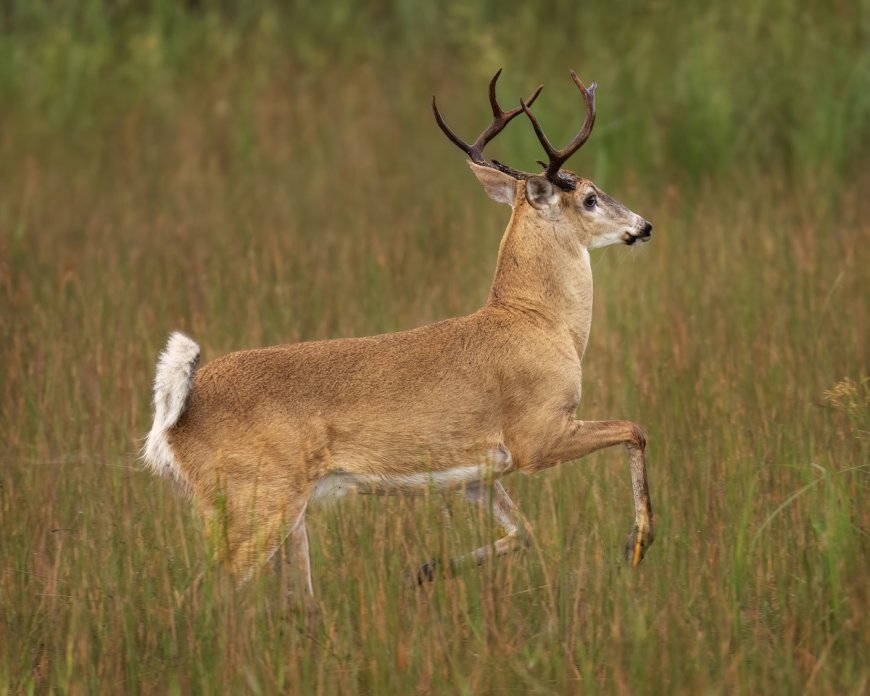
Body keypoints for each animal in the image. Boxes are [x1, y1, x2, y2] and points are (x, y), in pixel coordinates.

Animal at [143, 69, 654, 596]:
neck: (537, 321)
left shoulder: (479, 471)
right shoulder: (536, 436)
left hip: (278, 514)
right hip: (256, 502)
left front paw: (424, 570)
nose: (644, 225)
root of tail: (173, 414)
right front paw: (637, 544)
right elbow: (635, 429)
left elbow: (524, 532)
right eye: (590, 196)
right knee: (204, 593)